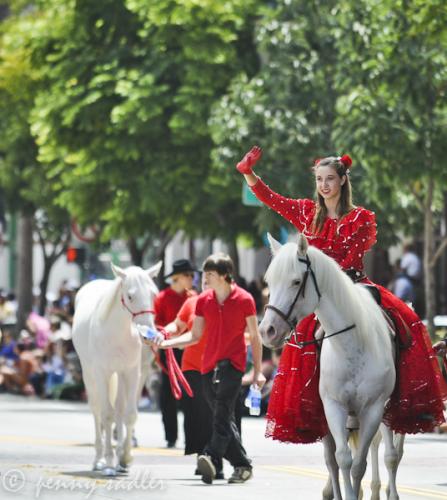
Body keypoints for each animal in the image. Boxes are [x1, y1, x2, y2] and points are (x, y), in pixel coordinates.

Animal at [73, 262, 163, 476]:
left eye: (154, 294)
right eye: (130, 296)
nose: (148, 334)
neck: (118, 333)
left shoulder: (131, 372)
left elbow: (129, 414)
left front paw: (125, 458)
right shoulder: (102, 372)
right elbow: (107, 414)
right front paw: (108, 462)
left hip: (120, 375)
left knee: (120, 409)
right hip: (89, 373)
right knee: (97, 410)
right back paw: (98, 460)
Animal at [260, 234, 400, 500]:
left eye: (296, 281)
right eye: (269, 282)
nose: (267, 331)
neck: (352, 344)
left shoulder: (373, 409)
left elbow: (359, 464)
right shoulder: (333, 406)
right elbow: (342, 459)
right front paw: (347, 493)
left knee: (389, 456)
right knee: (332, 461)